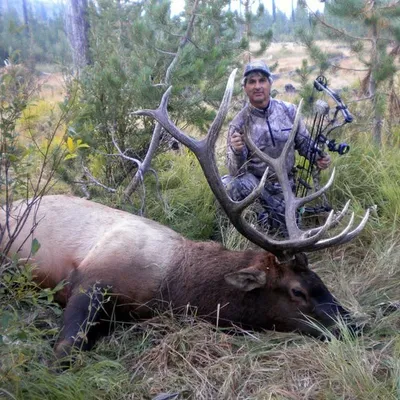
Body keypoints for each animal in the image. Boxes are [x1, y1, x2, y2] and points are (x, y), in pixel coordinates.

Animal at [0, 69, 369, 360]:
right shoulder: (90, 279)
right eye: (297, 291)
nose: (354, 324)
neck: (171, 287)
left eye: (321, 281)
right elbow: (66, 349)